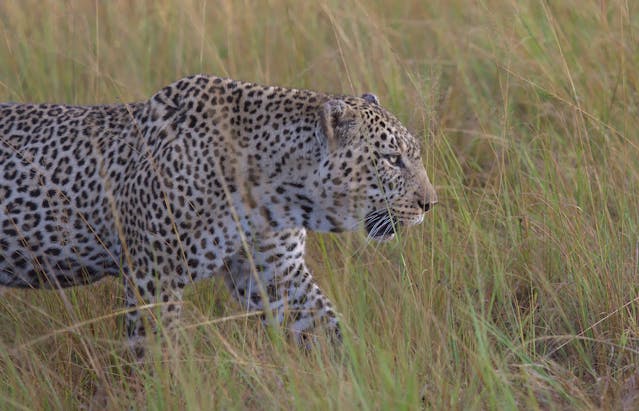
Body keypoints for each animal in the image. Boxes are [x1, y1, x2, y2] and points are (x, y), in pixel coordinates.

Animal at [0, 75, 438, 358]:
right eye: (391, 159)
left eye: (413, 155)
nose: (430, 204)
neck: (276, 188)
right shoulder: (153, 278)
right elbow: (157, 357)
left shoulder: (277, 272)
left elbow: (328, 329)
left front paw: (367, 377)